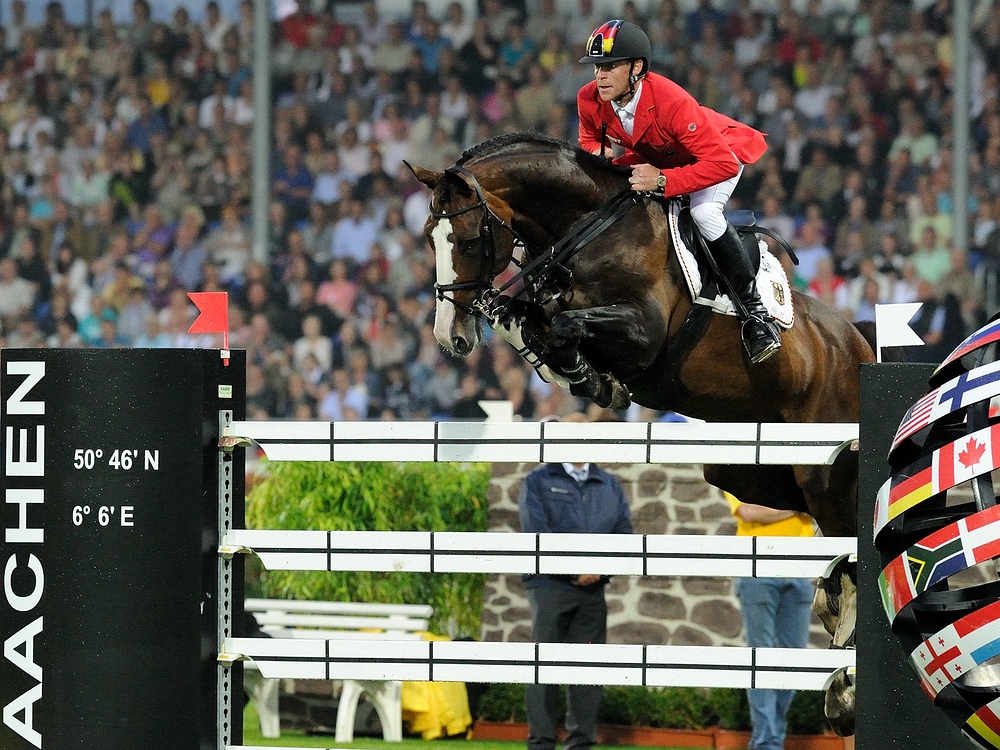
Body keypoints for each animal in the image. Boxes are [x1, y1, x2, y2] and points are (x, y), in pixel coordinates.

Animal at [406, 132, 876, 536]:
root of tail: (859, 344)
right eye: (429, 239)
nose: (449, 336)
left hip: (825, 470)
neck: (592, 229)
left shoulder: (643, 334)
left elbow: (566, 327)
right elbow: (518, 320)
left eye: (469, 241)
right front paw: (580, 375)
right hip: (746, 461)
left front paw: (593, 381)